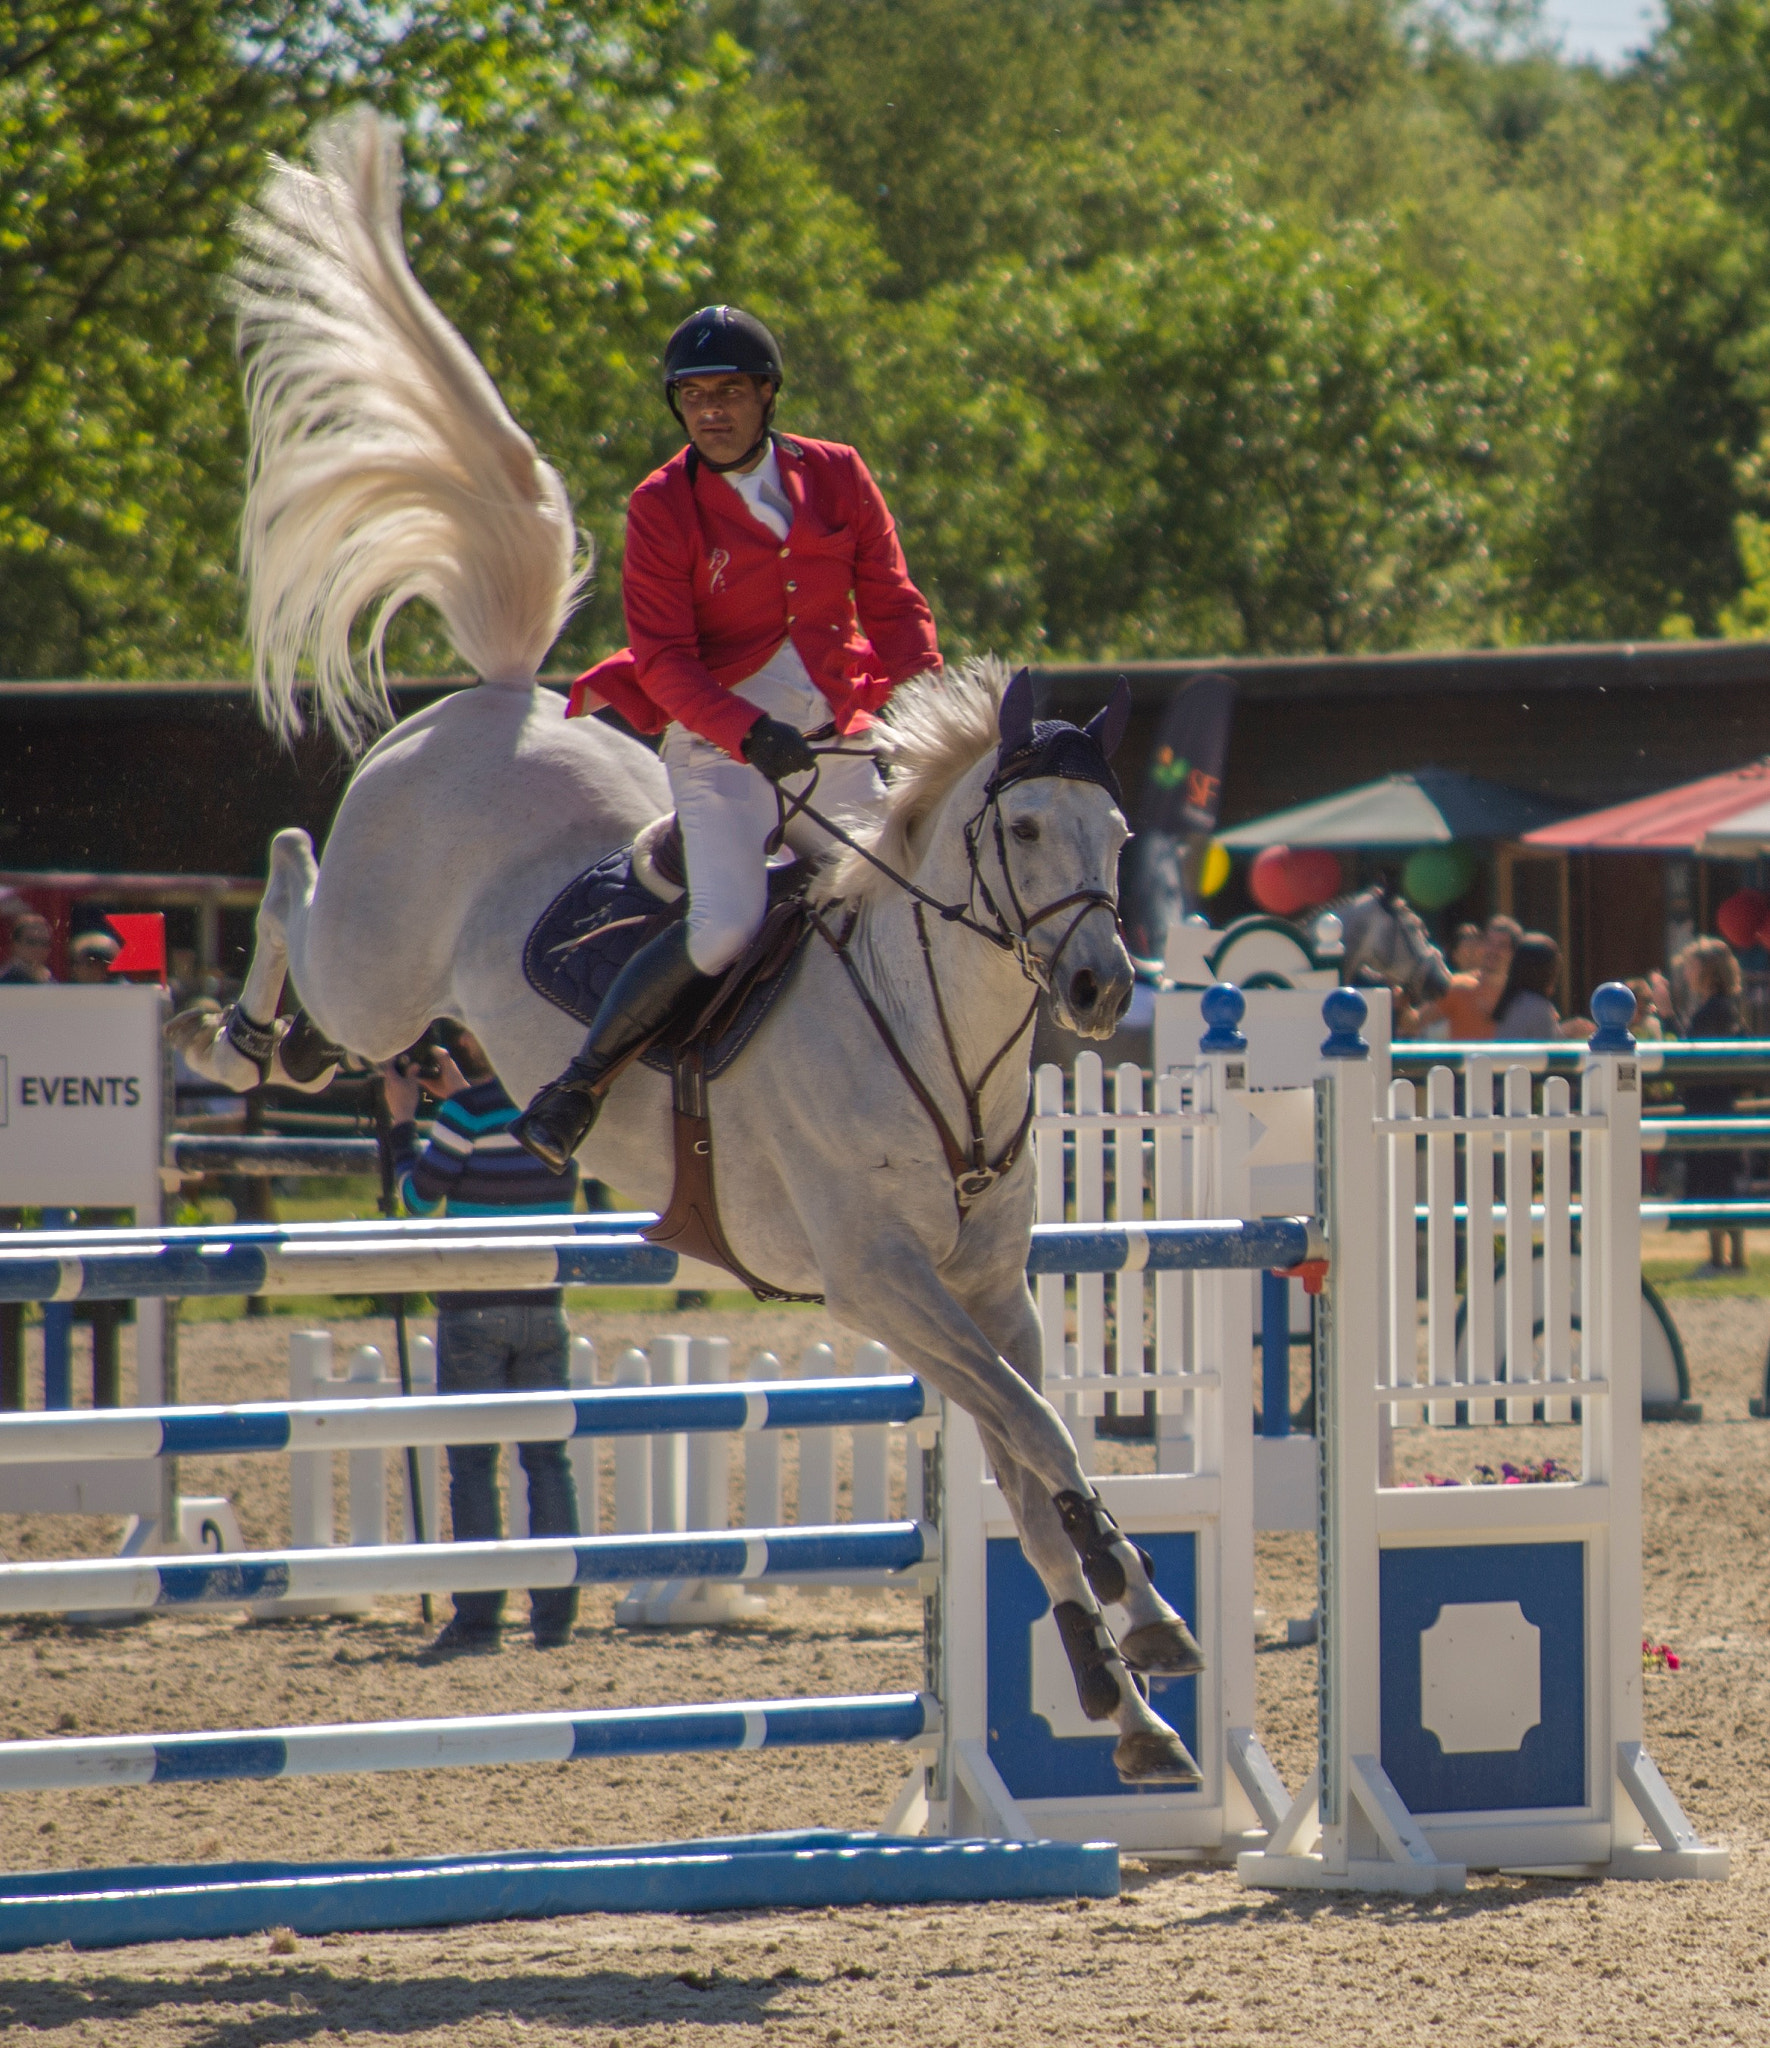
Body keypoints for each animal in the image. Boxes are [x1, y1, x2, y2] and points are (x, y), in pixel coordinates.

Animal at [176, 112, 1204, 1777]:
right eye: (1025, 832)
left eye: (1116, 834)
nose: (1103, 986)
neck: (936, 1045)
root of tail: (502, 698)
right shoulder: (878, 1282)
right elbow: (1037, 1435)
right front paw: (1138, 1615)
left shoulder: (981, 1290)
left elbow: (1017, 1449)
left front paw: (1128, 1696)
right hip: (377, 961)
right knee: (289, 883)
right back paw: (239, 1031)